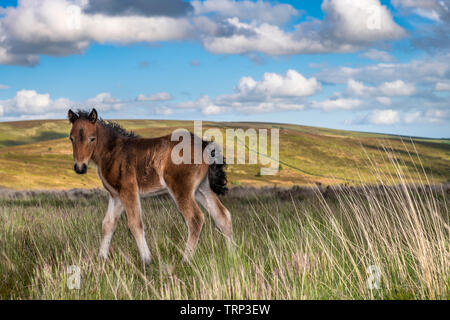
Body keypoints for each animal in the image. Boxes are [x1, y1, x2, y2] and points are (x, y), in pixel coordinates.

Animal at [69, 109, 236, 264]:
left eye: (92, 138)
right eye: (71, 138)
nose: (80, 168)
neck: (113, 151)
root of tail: (203, 145)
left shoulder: (128, 191)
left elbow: (135, 224)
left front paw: (147, 260)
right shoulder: (116, 196)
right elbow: (108, 224)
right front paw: (101, 259)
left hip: (181, 190)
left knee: (195, 219)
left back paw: (185, 260)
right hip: (202, 189)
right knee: (222, 216)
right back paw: (231, 255)